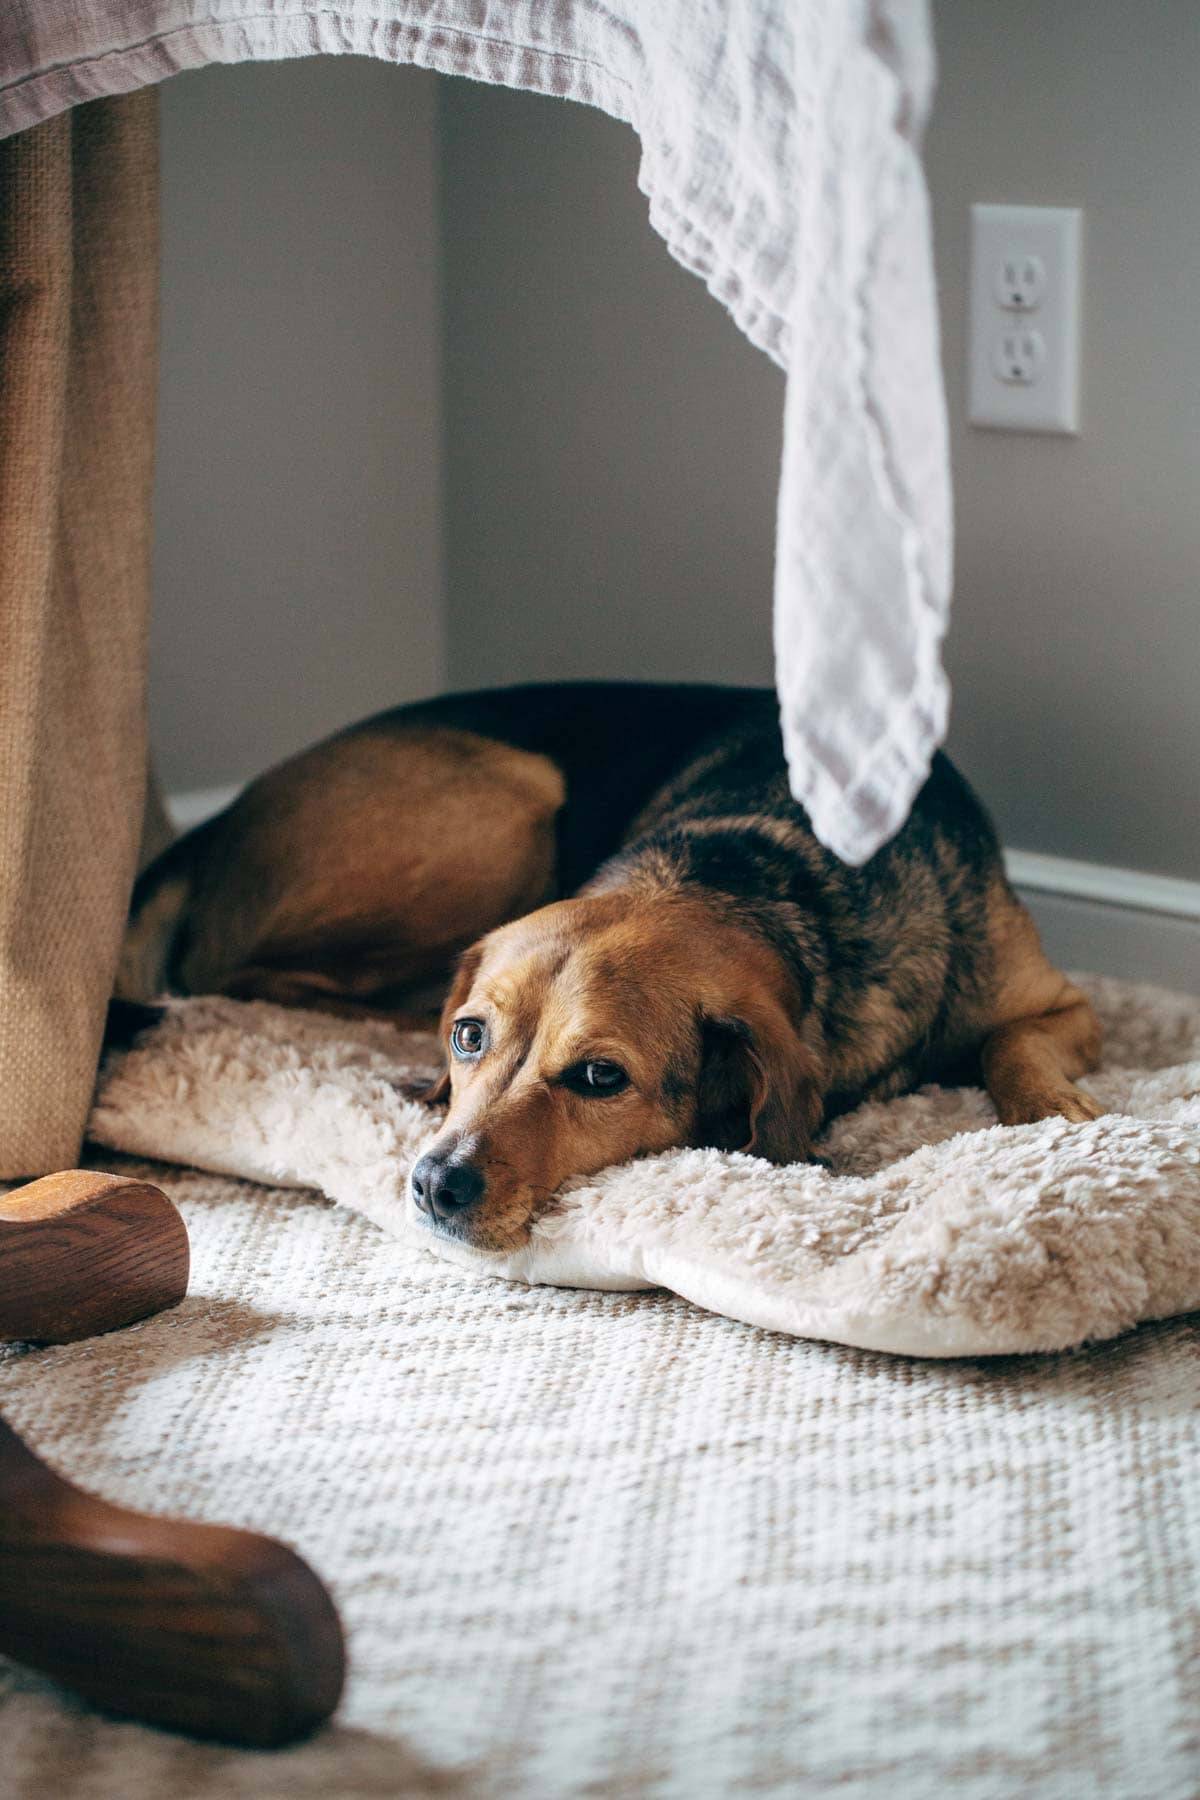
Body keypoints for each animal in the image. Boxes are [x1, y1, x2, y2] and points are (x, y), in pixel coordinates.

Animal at [119, 684, 1101, 1252]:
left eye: (599, 1077)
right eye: (469, 1037)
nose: (433, 1182)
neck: (767, 878)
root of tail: (214, 827)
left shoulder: (1063, 1004)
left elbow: (1008, 1047)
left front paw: (1056, 1114)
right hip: (512, 801)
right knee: (247, 975)